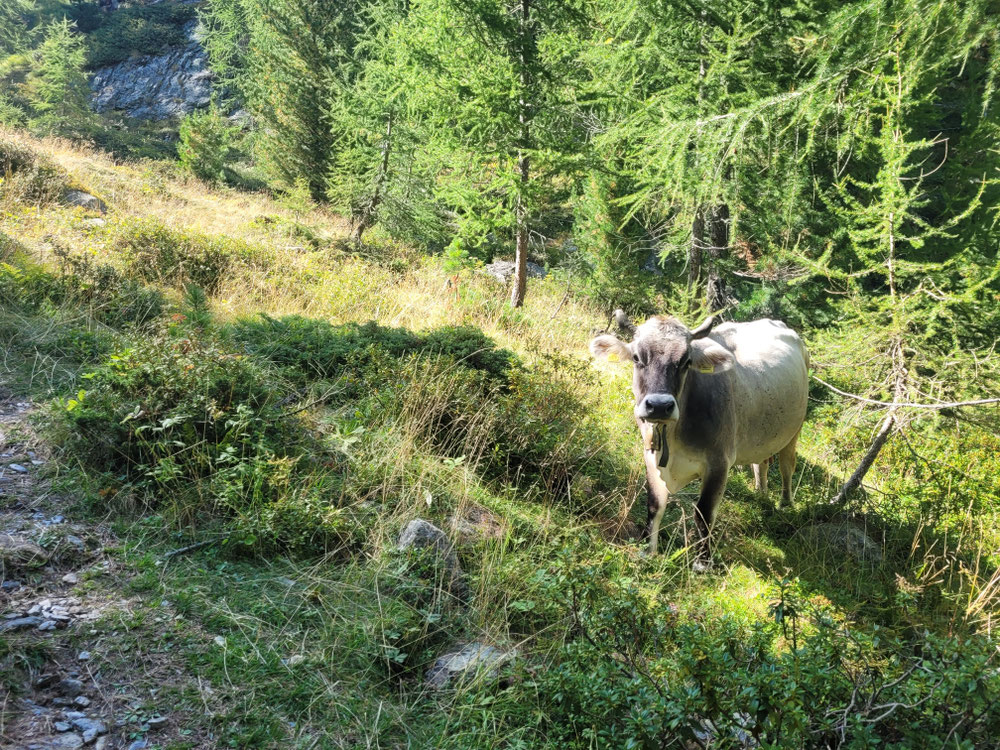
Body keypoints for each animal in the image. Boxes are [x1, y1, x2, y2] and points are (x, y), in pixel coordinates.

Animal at [588, 312, 808, 568]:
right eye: (636, 357)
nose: (660, 406)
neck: (673, 434)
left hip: (794, 430)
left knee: (786, 465)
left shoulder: (719, 462)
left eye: (686, 361)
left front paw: (703, 562)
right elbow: (654, 504)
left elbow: (704, 512)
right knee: (761, 462)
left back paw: (785, 504)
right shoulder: (650, 456)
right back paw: (760, 493)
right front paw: (647, 549)